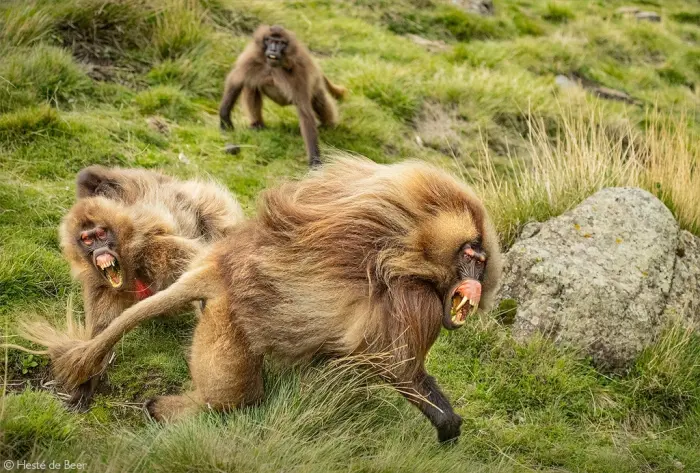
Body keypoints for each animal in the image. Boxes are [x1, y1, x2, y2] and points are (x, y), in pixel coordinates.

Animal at [20, 165, 245, 406]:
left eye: (102, 234)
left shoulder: (154, 249)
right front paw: (84, 386)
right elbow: (101, 334)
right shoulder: (100, 287)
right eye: (87, 240)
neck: (130, 266)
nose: (99, 251)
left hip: (210, 206)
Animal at [218, 25, 346, 167]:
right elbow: (235, 80)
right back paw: (257, 124)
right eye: (269, 40)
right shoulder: (251, 59)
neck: (274, 67)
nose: (273, 49)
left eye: (280, 43)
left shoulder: (299, 72)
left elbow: (305, 113)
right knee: (251, 85)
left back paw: (329, 125)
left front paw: (315, 160)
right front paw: (225, 119)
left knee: (319, 101)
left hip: (315, 82)